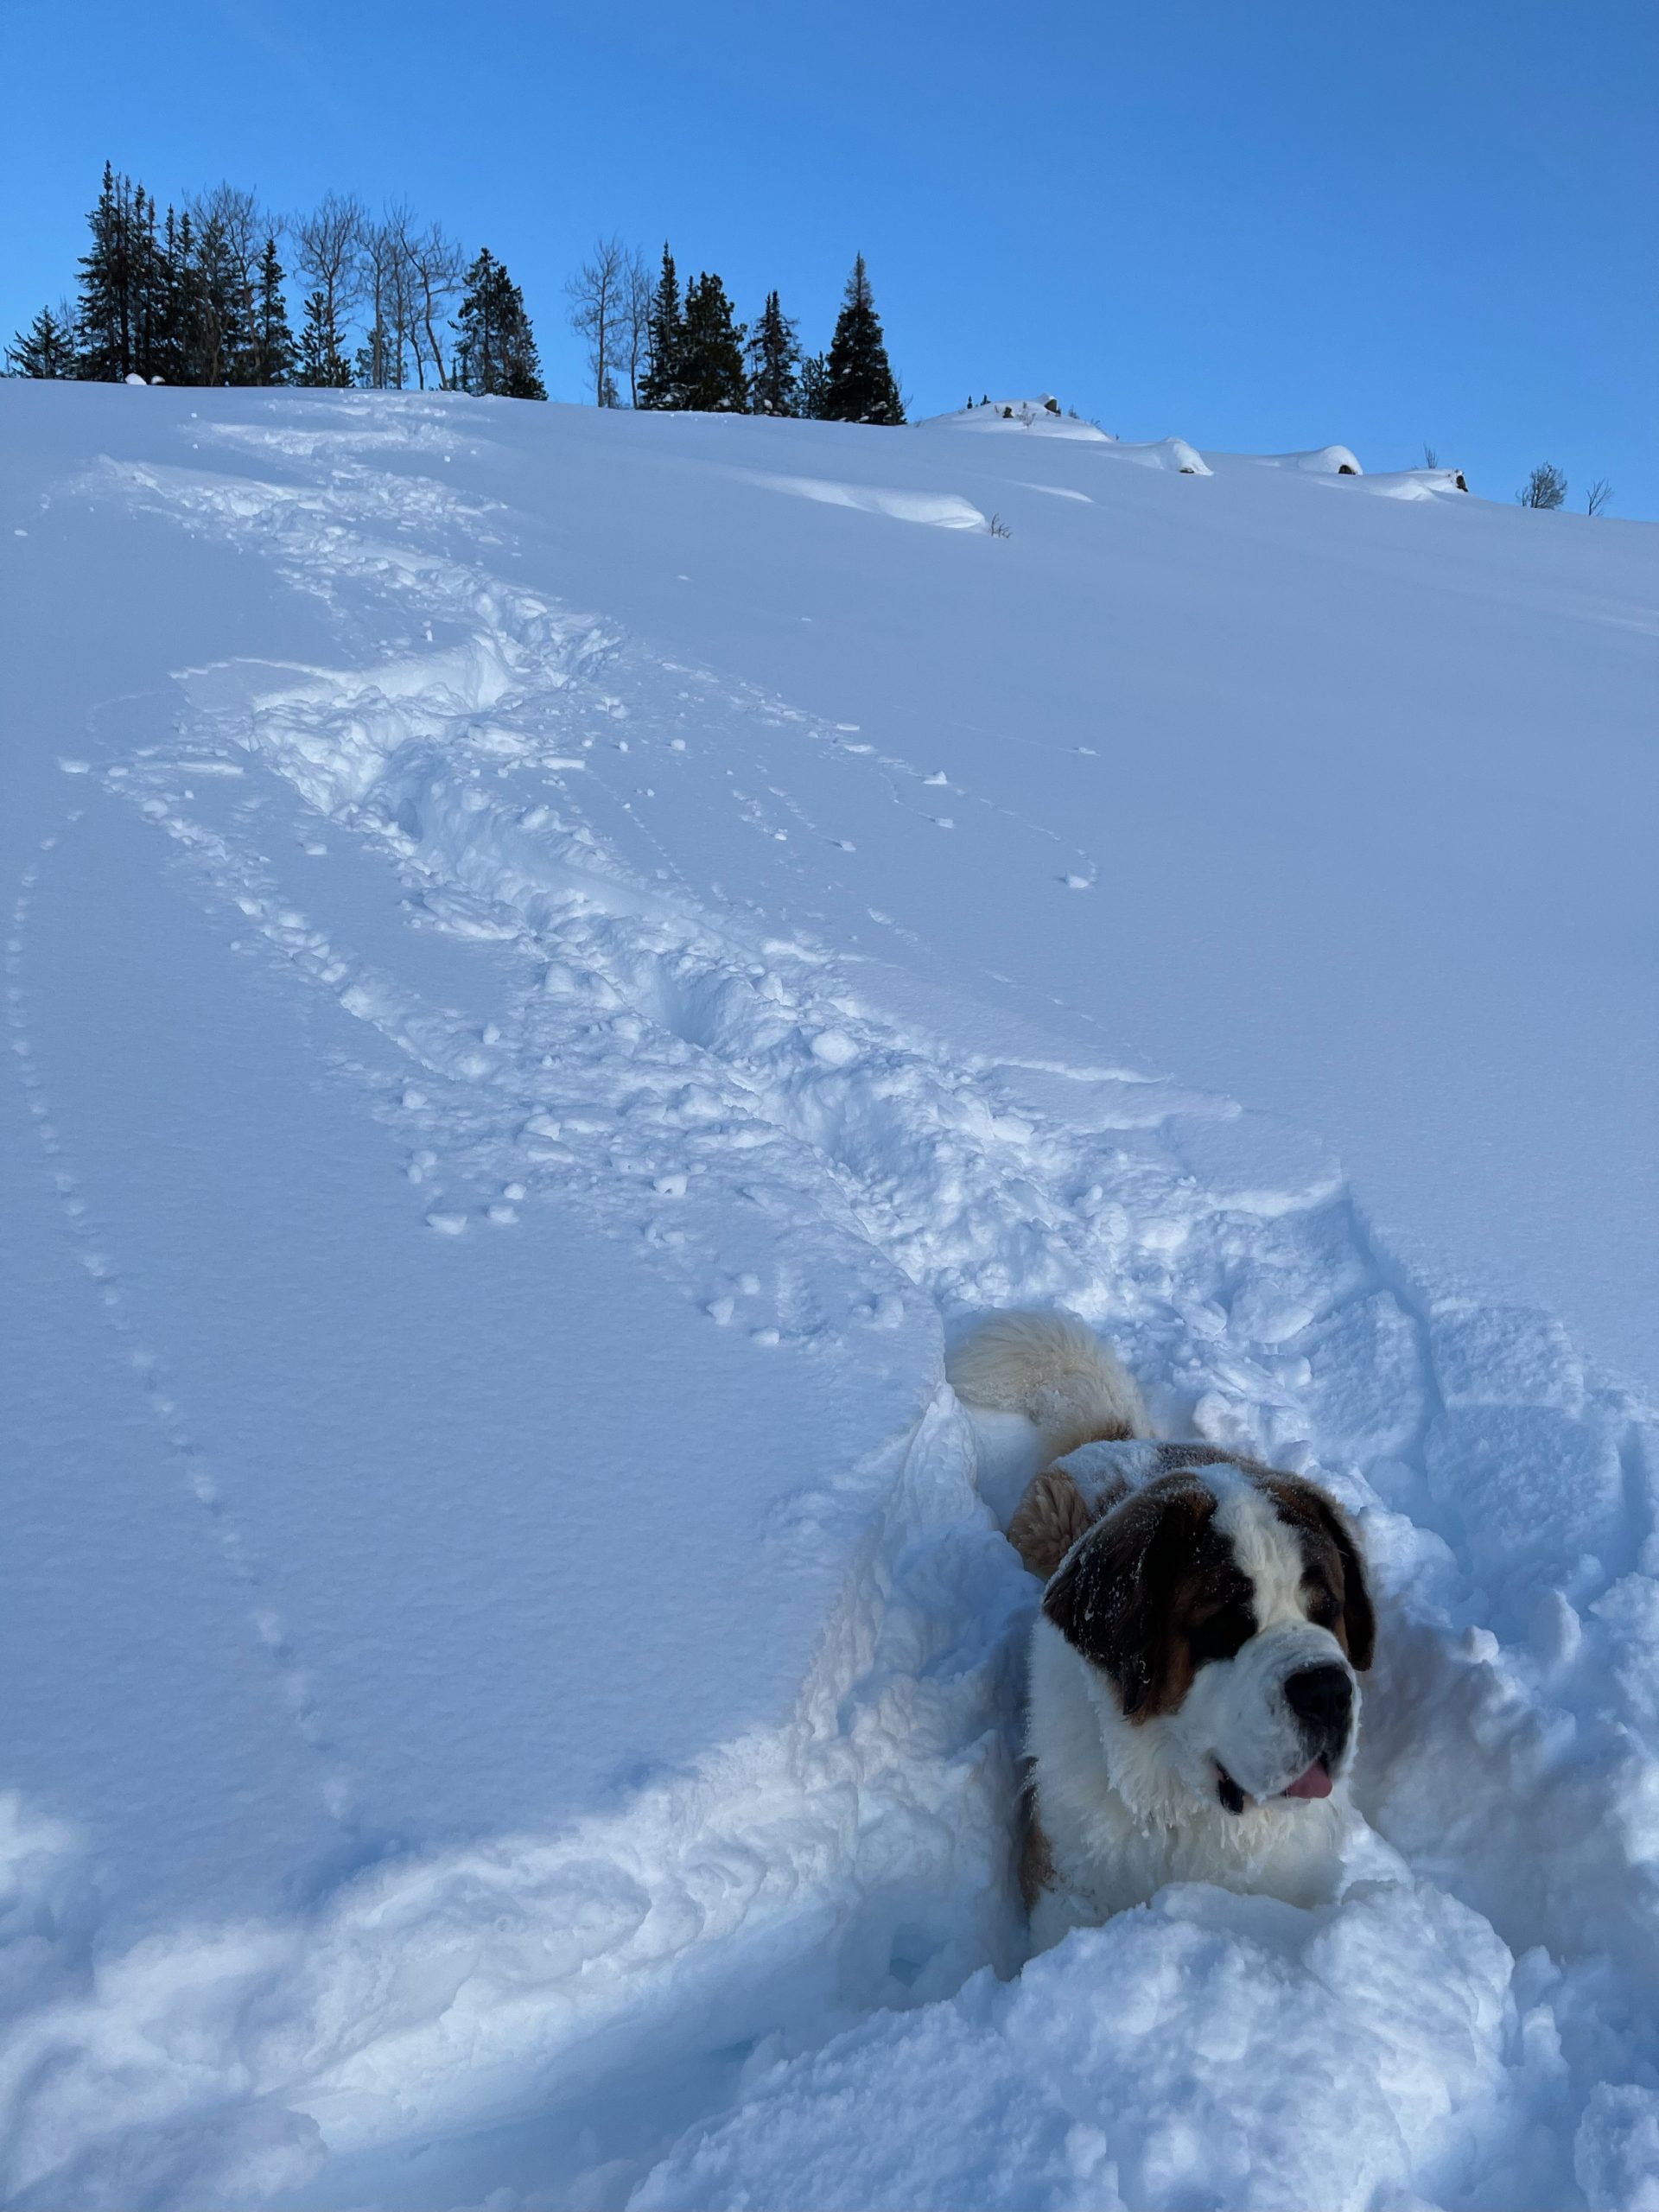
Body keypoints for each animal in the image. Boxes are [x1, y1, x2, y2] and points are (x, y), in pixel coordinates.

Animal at [946, 1300, 1380, 1946]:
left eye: (1326, 1610)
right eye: (1226, 1624)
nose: (1327, 1692)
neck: (1184, 1809)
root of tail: (1121, 1440)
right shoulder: (1060, 1888)